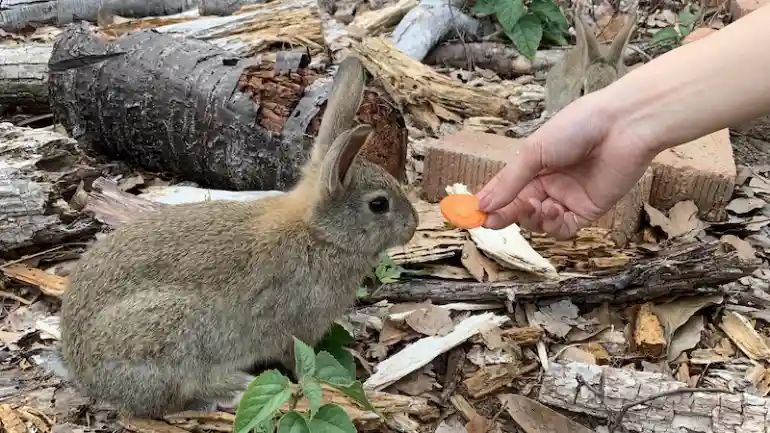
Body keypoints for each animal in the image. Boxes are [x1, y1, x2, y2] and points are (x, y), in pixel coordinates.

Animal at [58, 55, 420, 416]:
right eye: (378, 205)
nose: (413, 224)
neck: (318, 233)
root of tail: (85, 375)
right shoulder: (295, 328)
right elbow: (298, 360)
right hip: (169, 333)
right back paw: (235, 387)